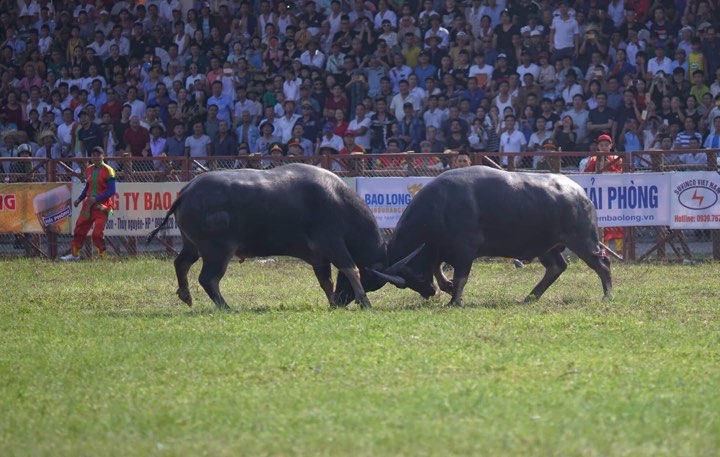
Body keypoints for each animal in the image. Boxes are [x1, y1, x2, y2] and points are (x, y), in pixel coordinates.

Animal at [147, 164, 417, 310]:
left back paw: (186, 295)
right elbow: (352, 270)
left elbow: (326, 281)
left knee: (181, 263)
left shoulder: (319, 257)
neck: (338, 201)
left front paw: (331, 301)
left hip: (192, 246)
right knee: (208, 278)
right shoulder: (332, 245)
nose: (342, 301)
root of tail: (187, 191)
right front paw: (364, 301)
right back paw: (226, 307)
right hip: (217, 251)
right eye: (372, 283)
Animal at [377, 166, 613, 306]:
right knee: (557, 267)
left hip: (582, 240)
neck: (440, 207)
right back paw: (529, 297)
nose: (429, 292)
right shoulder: (440, 249)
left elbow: (460, 276)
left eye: (412, 275)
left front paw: (454, 301)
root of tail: (580, 193)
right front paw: (447, 287)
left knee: (602, 264)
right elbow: (437, 268)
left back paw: (607, 295)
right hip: (545, 246)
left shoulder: (465, 250)